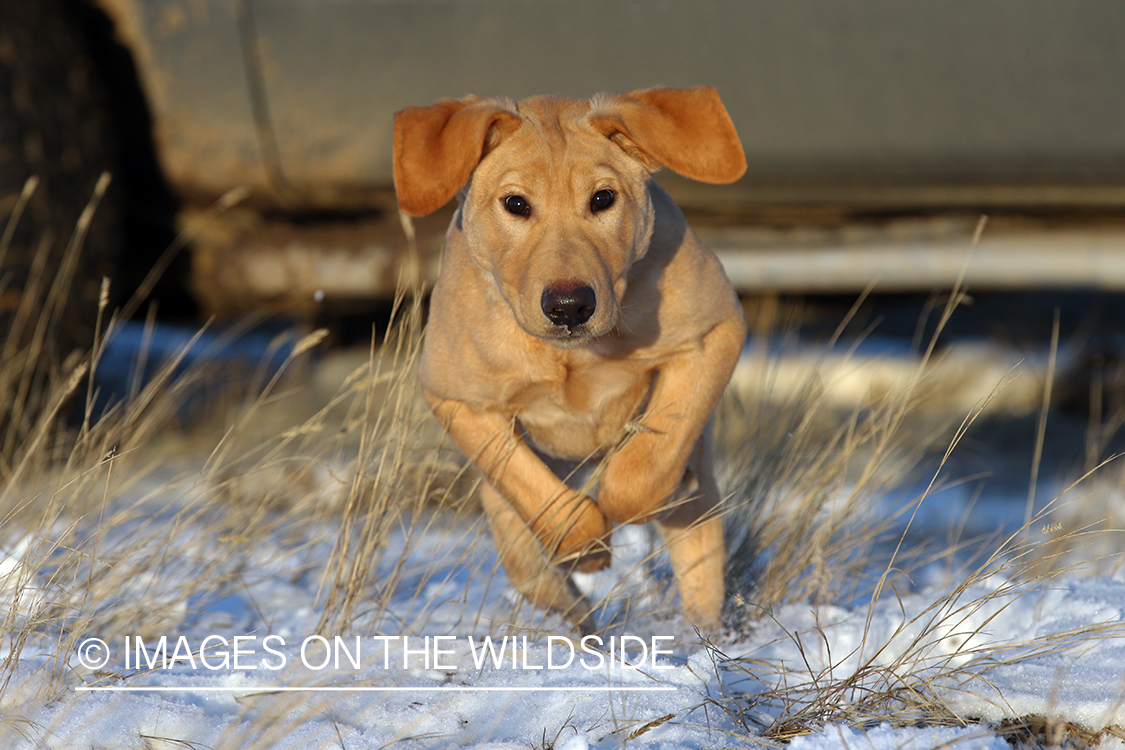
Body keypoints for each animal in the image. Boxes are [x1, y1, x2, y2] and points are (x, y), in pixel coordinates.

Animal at [393, 88, 747, 634]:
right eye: (516, 204)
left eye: (602, 199)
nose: (569, 306)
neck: (572, 355)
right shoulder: (457, 398)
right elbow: (534, 489)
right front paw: (587, 546)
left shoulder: (714, 331)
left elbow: (644, 467)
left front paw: (652, 490)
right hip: (511, 537)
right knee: (552, 586)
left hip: (701, 520)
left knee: (699, 567)